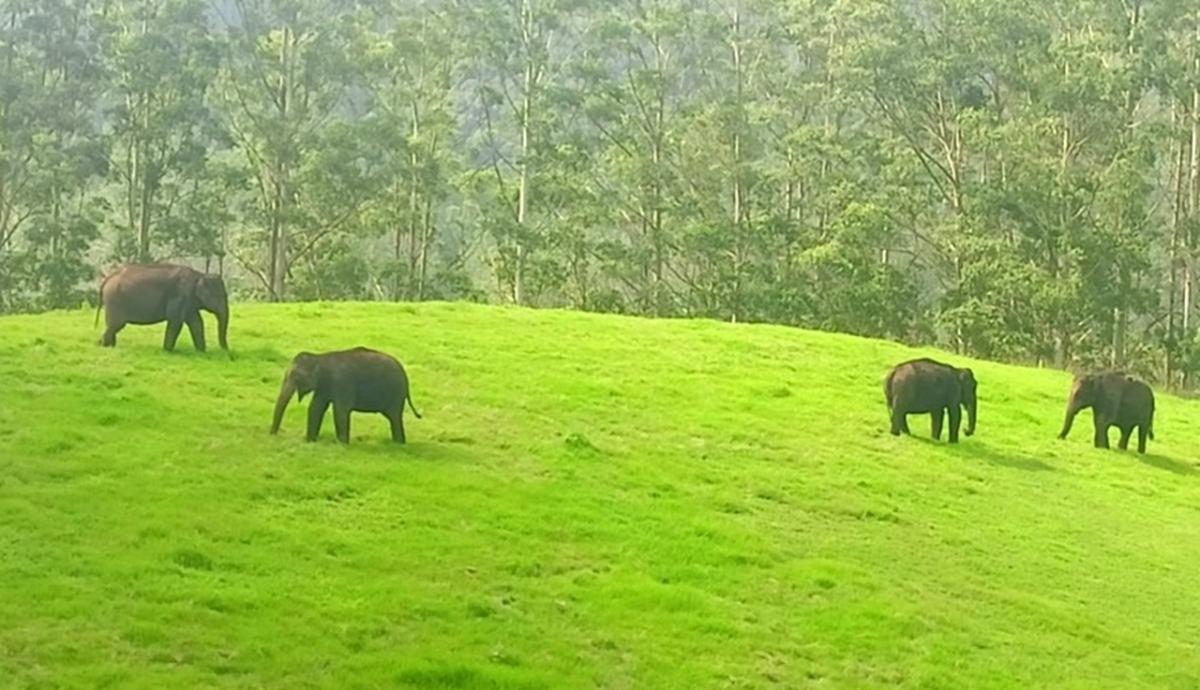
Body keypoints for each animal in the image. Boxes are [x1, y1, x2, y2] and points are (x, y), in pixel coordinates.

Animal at [95, 263, 229, 352]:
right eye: (219, 296)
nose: (227, 351)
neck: (200, 275)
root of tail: (108, 278)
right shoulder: (180, 295)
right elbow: (175, 321)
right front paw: (167, 351)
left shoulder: (189, 301)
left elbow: (196, 323)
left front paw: (201, 351)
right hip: (115, 300)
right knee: (116, 324)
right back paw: (102, 346)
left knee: (112, 325)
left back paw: (109, 346)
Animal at [270, 347, 422, 444]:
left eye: (295, 377)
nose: (273, 435)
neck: (320, 357)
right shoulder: (324, 386)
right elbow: (316, 408)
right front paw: (310, 441)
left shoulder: (342, 381)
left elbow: (340, 410)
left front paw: (342, 444)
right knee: (393, 418)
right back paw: (398, 443)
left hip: (396, 393)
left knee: (395, 417)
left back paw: (398, 444)